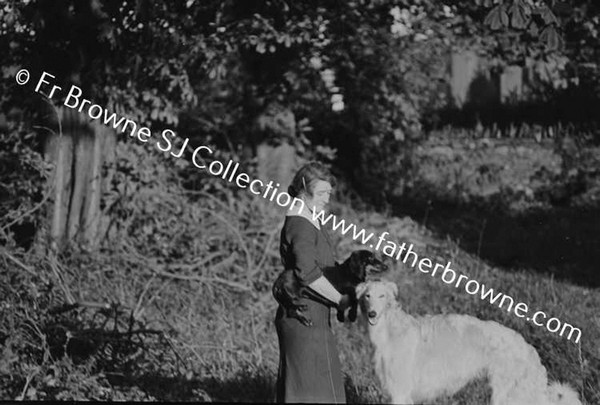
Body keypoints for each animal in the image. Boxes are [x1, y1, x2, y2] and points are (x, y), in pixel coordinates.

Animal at [356, 280, 580, 404]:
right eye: (367, 296)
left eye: (381, 295)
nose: (372, 313)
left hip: (507, 397)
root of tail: (529, 350)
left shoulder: (400, 393)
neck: (391, 330)